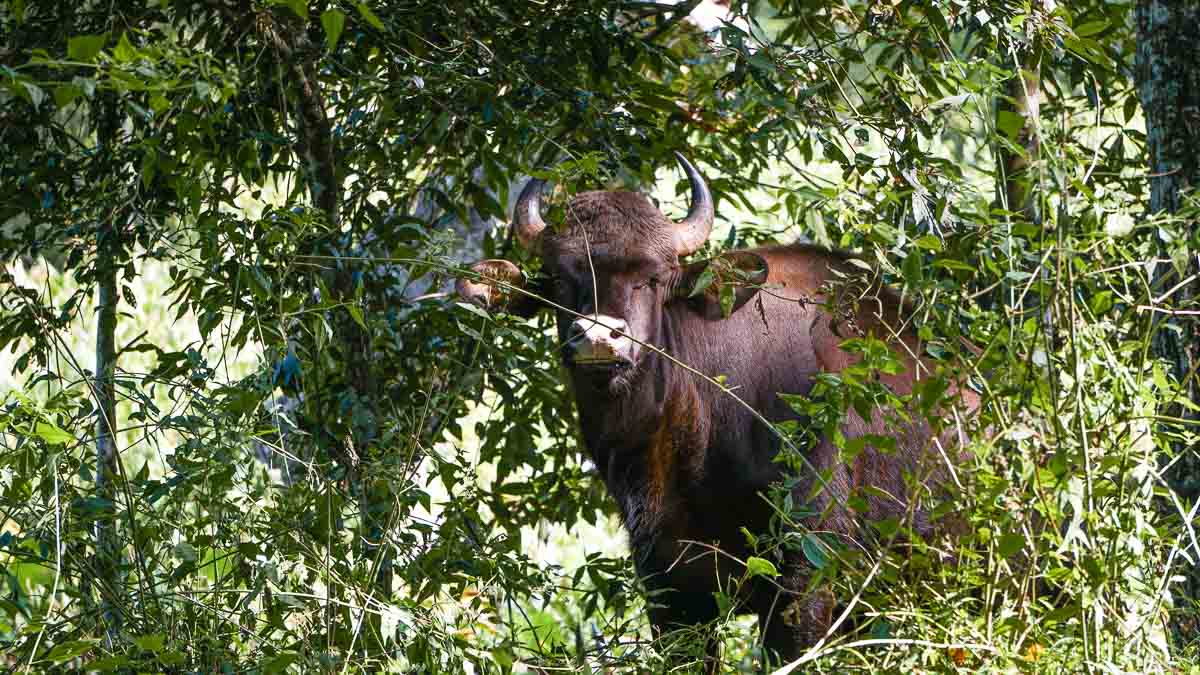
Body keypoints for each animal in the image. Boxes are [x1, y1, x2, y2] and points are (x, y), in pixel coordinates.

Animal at [453, 153, 979, 667]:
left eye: (653, 278)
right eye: (561, 280)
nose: (600, 339)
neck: (692, 444)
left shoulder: (807, 569)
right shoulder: (670, 585)